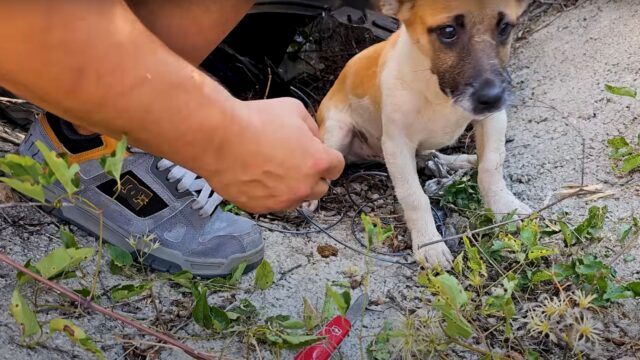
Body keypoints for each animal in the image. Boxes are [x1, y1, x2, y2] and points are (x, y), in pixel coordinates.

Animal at [310, 0, 528, 268]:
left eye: (505, 28)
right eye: (448, 31)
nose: (493, 98)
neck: (435, 90)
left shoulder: (492, 119)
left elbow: (491, 167)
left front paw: (505, 207)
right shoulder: (397, 145)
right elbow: (414, 196)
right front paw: (429, 244)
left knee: (430, 155)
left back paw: (459, 161)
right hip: (337, 132)